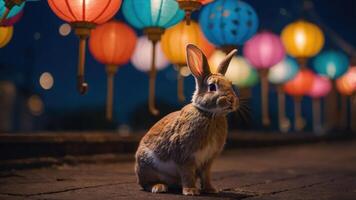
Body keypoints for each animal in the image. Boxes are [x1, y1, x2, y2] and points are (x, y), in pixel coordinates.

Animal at [135, 43, 238, 195]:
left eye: (231, 84)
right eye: (212, 87)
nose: (231, 101)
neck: (209, 114)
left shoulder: (208, 161)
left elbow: (206, 175)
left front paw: (211, 190)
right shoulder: (185, 156)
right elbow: (187, 174)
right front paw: (191, 191)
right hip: (147, 166)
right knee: (146, 184)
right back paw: (159, 187)